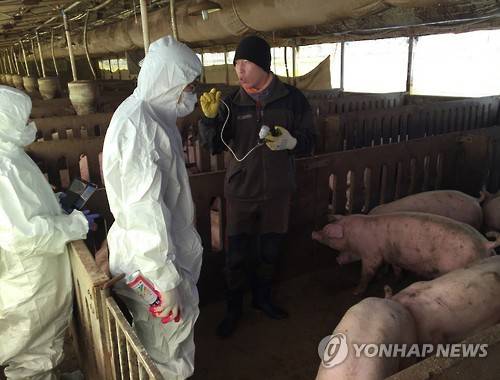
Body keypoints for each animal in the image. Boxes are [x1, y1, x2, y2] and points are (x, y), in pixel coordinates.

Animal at [310, 214, 498, 294]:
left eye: (326, 231)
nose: (312, 232)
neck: (354, 235)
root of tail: (486, 243)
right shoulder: (391, 254)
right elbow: (395, 266)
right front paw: (396, 279)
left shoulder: (372, 254)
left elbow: (367, 272)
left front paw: (357, 291)